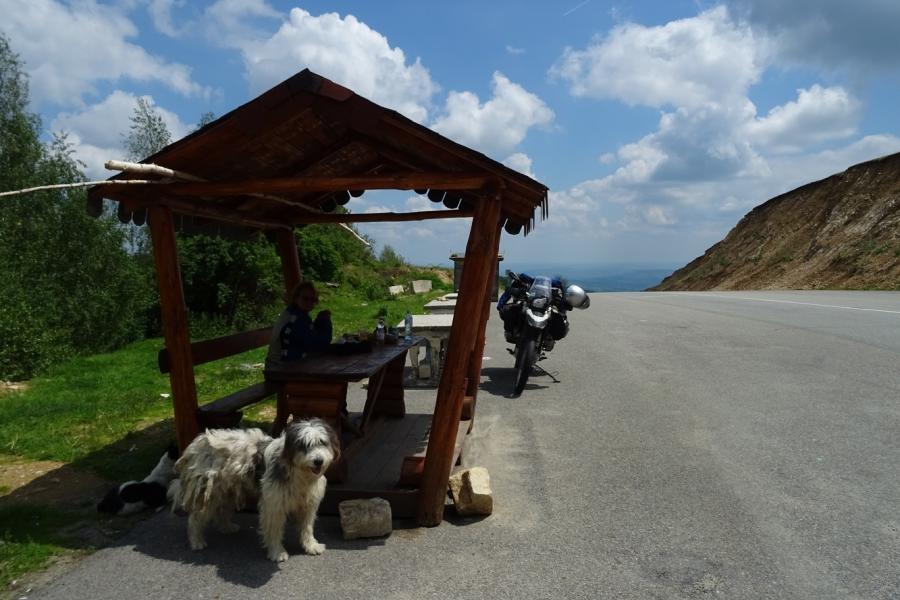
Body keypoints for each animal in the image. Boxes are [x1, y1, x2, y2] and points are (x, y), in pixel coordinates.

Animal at [176, 418, 342, 564]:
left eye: (322, 442)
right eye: (304, 445)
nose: (318, 461)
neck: (298, 473)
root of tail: (197, 442)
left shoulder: (308, 504)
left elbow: (307, 528)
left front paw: (311, 546)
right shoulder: (274, 505)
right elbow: (274, 530)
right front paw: (277, 552)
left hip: (227, 489)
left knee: (221, 510)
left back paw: (227, 527)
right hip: (208, 492)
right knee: (194, 518)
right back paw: (196, 541)